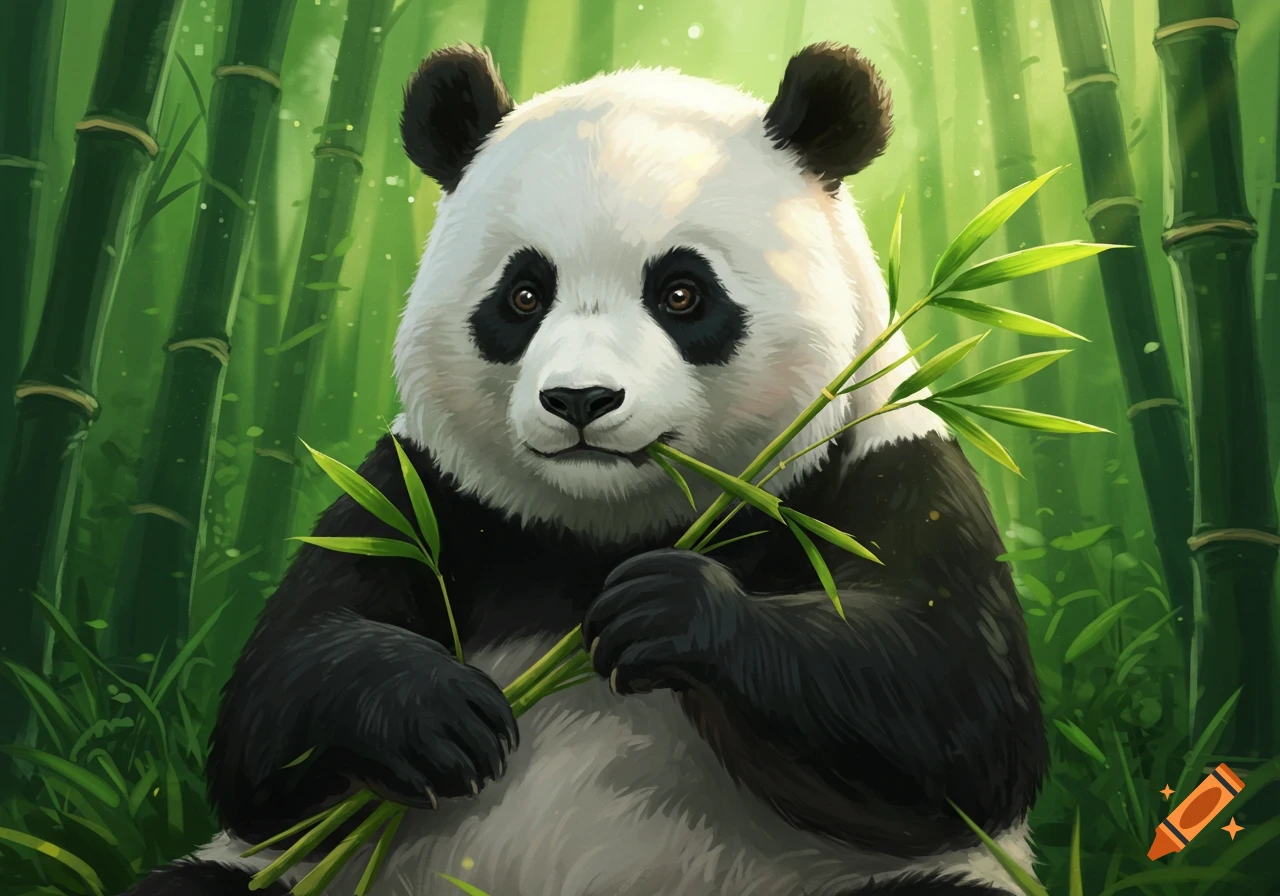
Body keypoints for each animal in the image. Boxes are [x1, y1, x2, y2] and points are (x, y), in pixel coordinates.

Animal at [129, 42, 1047, 896]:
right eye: (523, 295)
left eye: (682, 293)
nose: (580, 399)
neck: (606, 527)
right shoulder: (422, 489)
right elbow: (270, 715)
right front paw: (437, 712)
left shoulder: (883, 457)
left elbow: (957, 712)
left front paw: (671, 610)